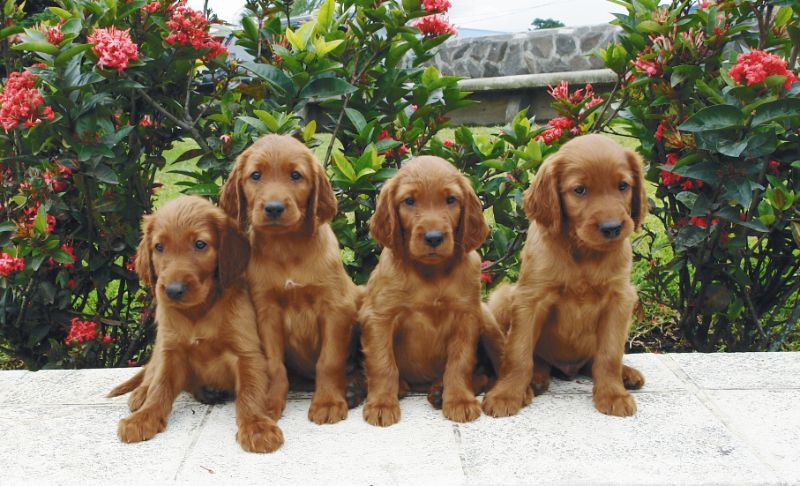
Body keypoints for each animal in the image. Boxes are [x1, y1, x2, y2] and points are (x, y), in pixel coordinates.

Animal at [106, 196, 282, 454]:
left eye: (200, 244)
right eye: (159, 247)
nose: (173, 291)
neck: (198, 311)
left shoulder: (247, 353)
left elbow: (250, 393)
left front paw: (257, 426)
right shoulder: (171, 352)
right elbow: (160, 386)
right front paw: (143, 417)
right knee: (150, 374)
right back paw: (139, 395)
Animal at [216, 135, 360, 424]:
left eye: (296, 175)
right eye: (256, 175)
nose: (273, 208)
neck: (286, 248)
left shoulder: (335, 308)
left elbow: (329, 360)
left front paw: (328, 402)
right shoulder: (266, 311)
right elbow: (273, 364)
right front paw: (268, 401)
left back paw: (353, 391)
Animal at [360, 156, 504, 426]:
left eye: (451, 200)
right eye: (409, 201)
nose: (434, 237)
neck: (430, 272)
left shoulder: (467, 317)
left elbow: (460, 362)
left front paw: (459, 401)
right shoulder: (379, 318)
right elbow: (383, 363)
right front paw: (382, 404)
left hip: (487, 320)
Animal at [482, 134, 648, 418]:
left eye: (623, 186)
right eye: (579, 190)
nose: (612, 228)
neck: (582, 250)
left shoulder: (620, 298)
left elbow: (609, 355)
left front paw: (613, 394)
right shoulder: (530, 298)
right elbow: (519, 352)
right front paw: (506, 394)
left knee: (593, 361)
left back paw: (627, 375)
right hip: (504, 296)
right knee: (535, 358)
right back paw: (536, 378)